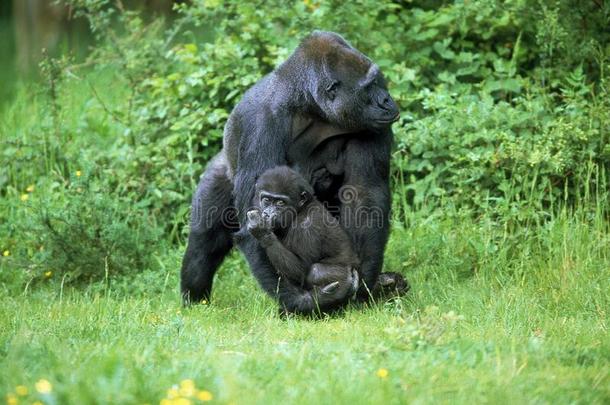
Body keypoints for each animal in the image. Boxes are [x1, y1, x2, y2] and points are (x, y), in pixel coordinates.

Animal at [245, 164, 358, 304]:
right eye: (267, 200)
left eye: (280, 203)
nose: (268, 213)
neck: (300, 210)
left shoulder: (307, 226)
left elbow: (300, 271)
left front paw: (261, 230)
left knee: (315, 272)